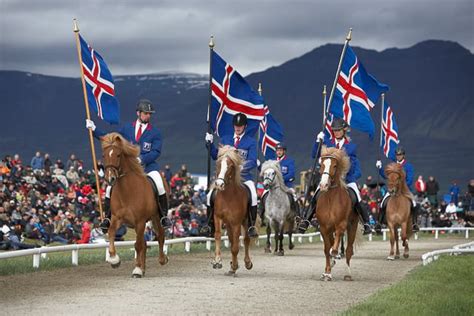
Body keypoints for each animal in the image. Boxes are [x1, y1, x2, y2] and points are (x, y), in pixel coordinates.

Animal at [100, 133, 168, 276]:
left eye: (118, 155)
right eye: (104, 155)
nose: (110, 179)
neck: (127, 191)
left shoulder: (140, 221)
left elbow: (137, 245)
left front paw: (136, 269)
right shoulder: (117, 218)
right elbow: (111, 233)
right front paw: (114, 260)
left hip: (156, 217)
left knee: (159, 236)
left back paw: (161, 259)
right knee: (144, 242)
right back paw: (143, 268)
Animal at [212, 145, 254, 274]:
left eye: (230, 166)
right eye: (218, 163)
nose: (219, 184)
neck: (228, 196)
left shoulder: (236, 222)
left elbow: (236, 247)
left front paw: (235, 265)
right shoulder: (218, 217)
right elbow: (218, 235)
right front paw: (217, 261)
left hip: (245, 222)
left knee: (246, 239)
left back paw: (246, 263)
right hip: (228, 223)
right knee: (231, 240)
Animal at [314, 148, 360, 282]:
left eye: (334, 166)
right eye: (322, 164)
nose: (323, 185)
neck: (331, 199)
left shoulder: (341, 224)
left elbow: (335, 246)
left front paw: (335, 254)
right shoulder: (324, 228)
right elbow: (326, 249)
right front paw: (327, 273)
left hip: (352, 226)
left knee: (349, 249)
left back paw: (348, 274)